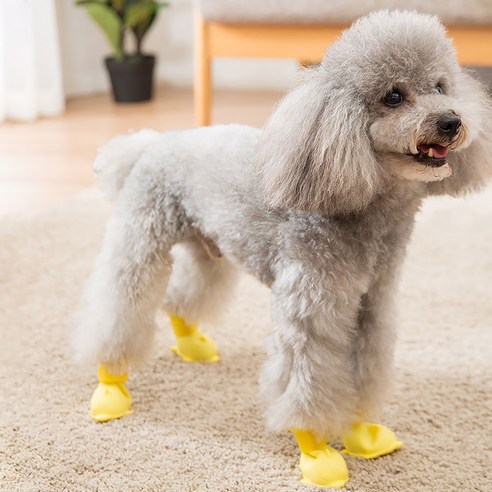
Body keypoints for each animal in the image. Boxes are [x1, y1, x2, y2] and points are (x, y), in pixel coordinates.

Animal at [74, 9, 492, 486]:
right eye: (393, 96)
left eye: (440, 87)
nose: (451, 121)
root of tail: (151, 141)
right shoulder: (311, 307)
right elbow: (306, 379)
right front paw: (316, 450)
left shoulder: (372, 303)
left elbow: (364, 369)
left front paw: (361, 431)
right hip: (141, 238)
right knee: (118, 308)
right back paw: (110, 385)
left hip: (209, 248)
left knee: (180, 298)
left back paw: (192, 344)